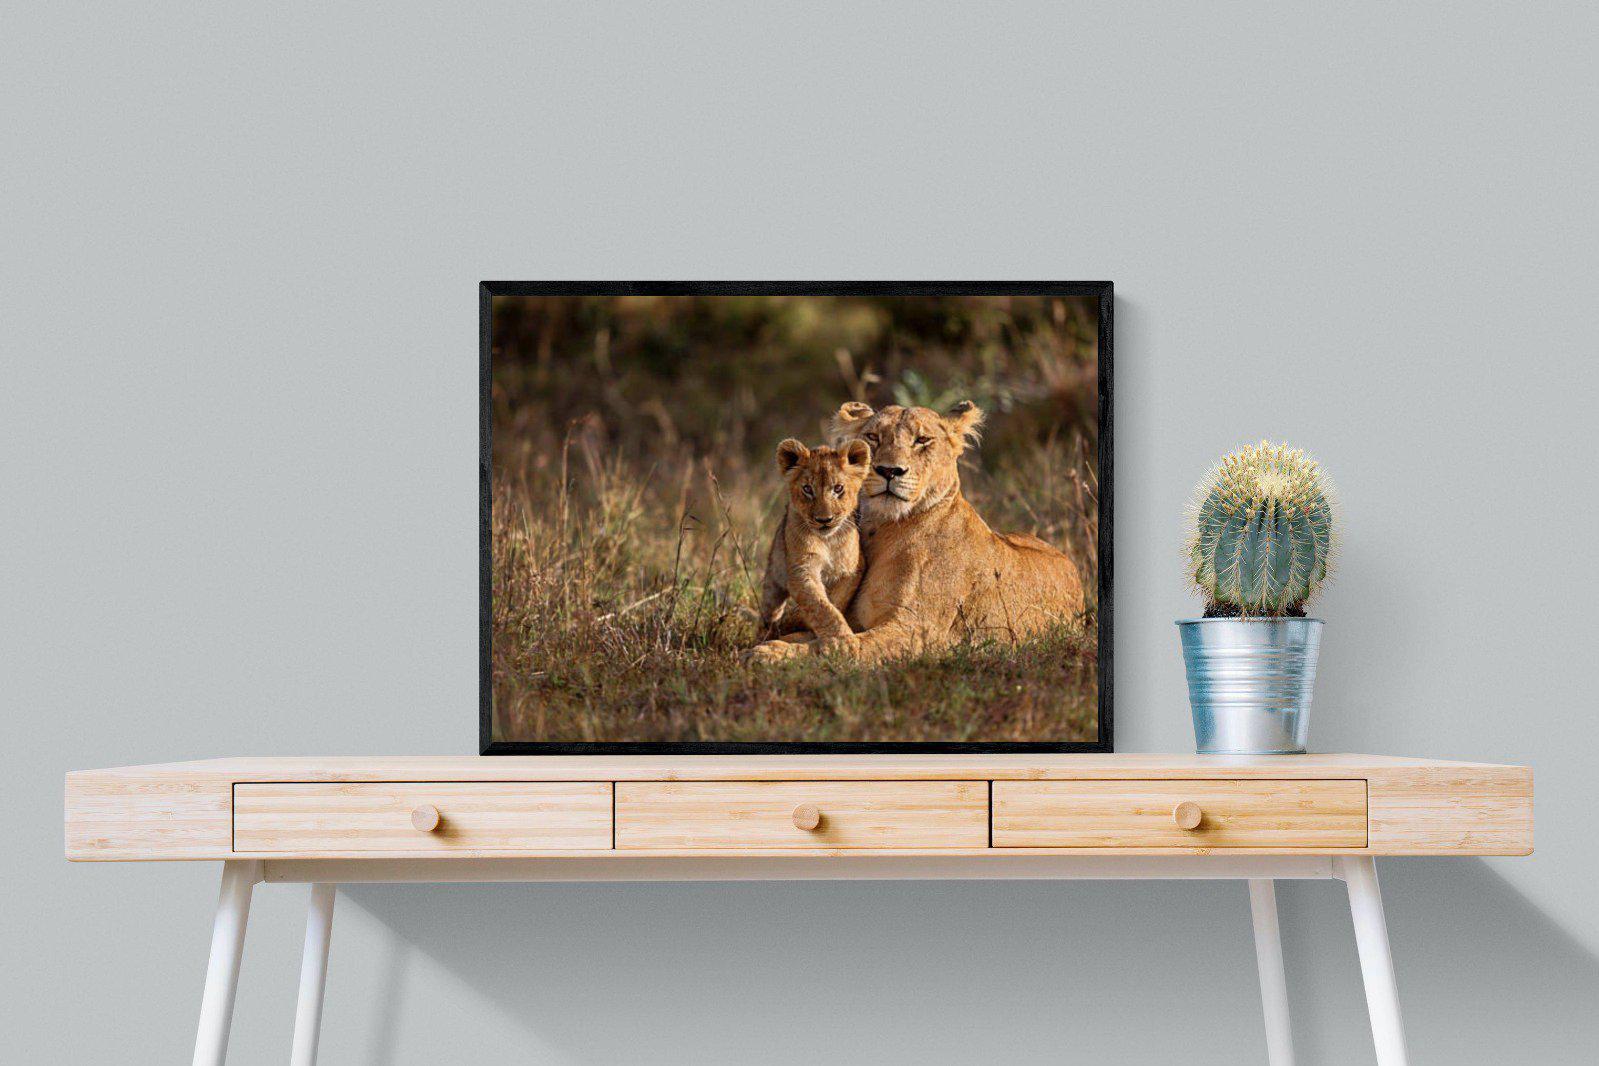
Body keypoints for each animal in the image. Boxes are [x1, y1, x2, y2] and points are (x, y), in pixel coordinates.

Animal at [756, 438, 872, 643]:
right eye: (807, 489)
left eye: (838, 488)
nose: (824, 520)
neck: (828, 541)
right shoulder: (801, 569)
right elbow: (821, 607)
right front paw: (843, 640)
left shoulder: (853, 568)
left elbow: (835, 600)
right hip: (774, 577)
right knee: (769, 611)